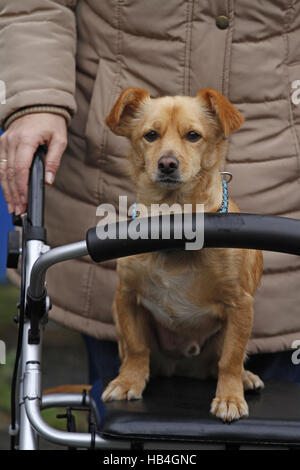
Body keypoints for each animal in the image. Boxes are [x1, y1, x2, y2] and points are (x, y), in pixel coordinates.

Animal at [101, 87, 262, 422]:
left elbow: (231, 359)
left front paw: (229, 397)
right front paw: (129, 381)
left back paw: (244, 378)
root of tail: (184, 368)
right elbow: (136, 348)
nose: (167, 163)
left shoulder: (240, 305)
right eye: (150, 135)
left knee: (224, 361)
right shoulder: (126, 298)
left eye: (193, 135)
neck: (173, 227)